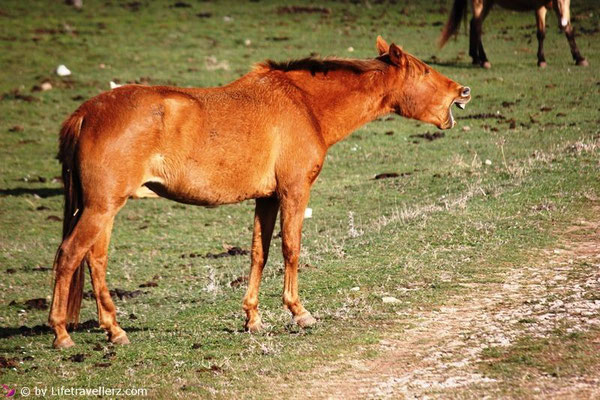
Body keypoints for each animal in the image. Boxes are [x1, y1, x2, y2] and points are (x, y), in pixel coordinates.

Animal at [48, 36, 468, 346]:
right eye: (424, 70)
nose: (463, 90)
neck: (304, 104)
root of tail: (85, 113)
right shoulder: (294, 192)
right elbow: (291, 249)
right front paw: (299, 313)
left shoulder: (266, 199)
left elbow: (258, 254)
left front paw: (253, 318)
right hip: (101, 207)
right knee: (69, 255)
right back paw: (62, 333)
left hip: (103, 208)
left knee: (95, 259)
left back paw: (114, 329)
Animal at [438, 0, 588, 67]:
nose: (562, 22)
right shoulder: (539, 7)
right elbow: (541, 33)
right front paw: (541, 60)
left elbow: (569, 30)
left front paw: (580, 58)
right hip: (479, 4)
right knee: (477, 27)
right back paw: (484, 60)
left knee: (473, 25)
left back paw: (476, 58)